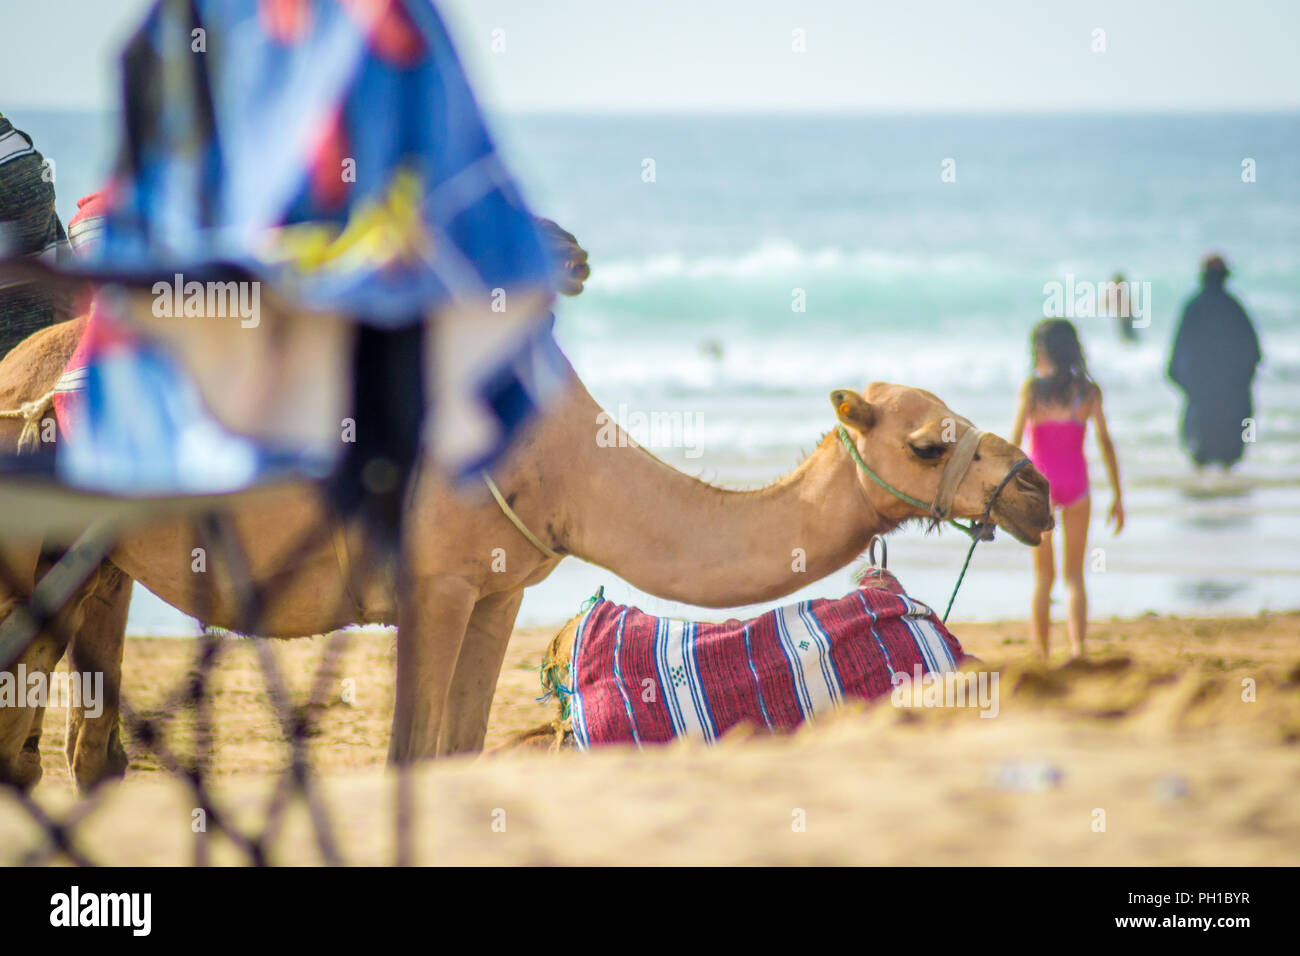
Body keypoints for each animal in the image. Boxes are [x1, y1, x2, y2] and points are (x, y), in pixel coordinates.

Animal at [0, 314, 1055, 790]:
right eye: (929, 443)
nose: (1036, 492)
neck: (568, 462)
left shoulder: (498, 590)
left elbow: (460, 748)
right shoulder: (433, 583)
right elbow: (410, 754)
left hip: (96, 563)